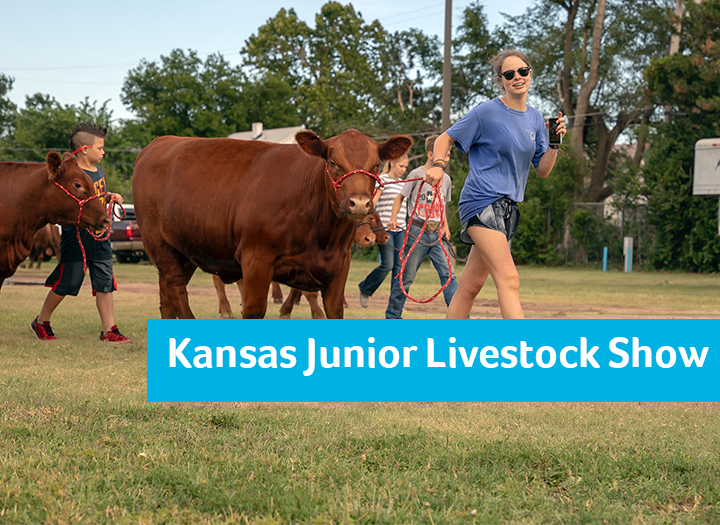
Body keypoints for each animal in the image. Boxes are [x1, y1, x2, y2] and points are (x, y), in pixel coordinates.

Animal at [131, 130, 410, 320]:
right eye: (333, 163)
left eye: (375, 165)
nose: (359, 203)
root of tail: (160, 142)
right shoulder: (256, 260)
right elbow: (255, 309)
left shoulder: (339, 266)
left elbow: (333, 309)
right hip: (162, 246)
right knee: (176, 291)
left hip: (183, 251)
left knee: (166, 295)